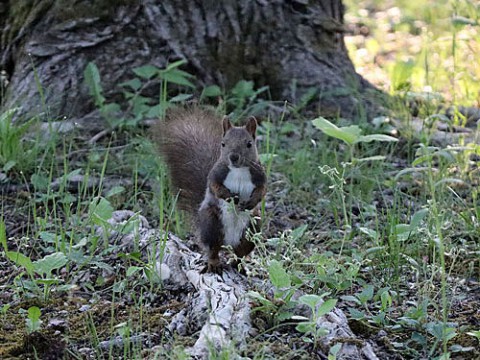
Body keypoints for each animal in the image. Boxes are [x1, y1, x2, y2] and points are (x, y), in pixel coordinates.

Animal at [153, 107, 266, 272]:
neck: (238, 170)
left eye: (249, 144)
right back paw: (214, 264)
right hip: (211, 223)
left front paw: (251, 202)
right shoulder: (215, 175)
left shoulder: (260, 175)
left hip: (252, 227)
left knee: (240, 252)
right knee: (213, 248)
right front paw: (231, 197)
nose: (233, 157)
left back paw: (240, 265)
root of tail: (229, 242)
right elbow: (215, 187)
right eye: (223, 143)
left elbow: (262, 190)